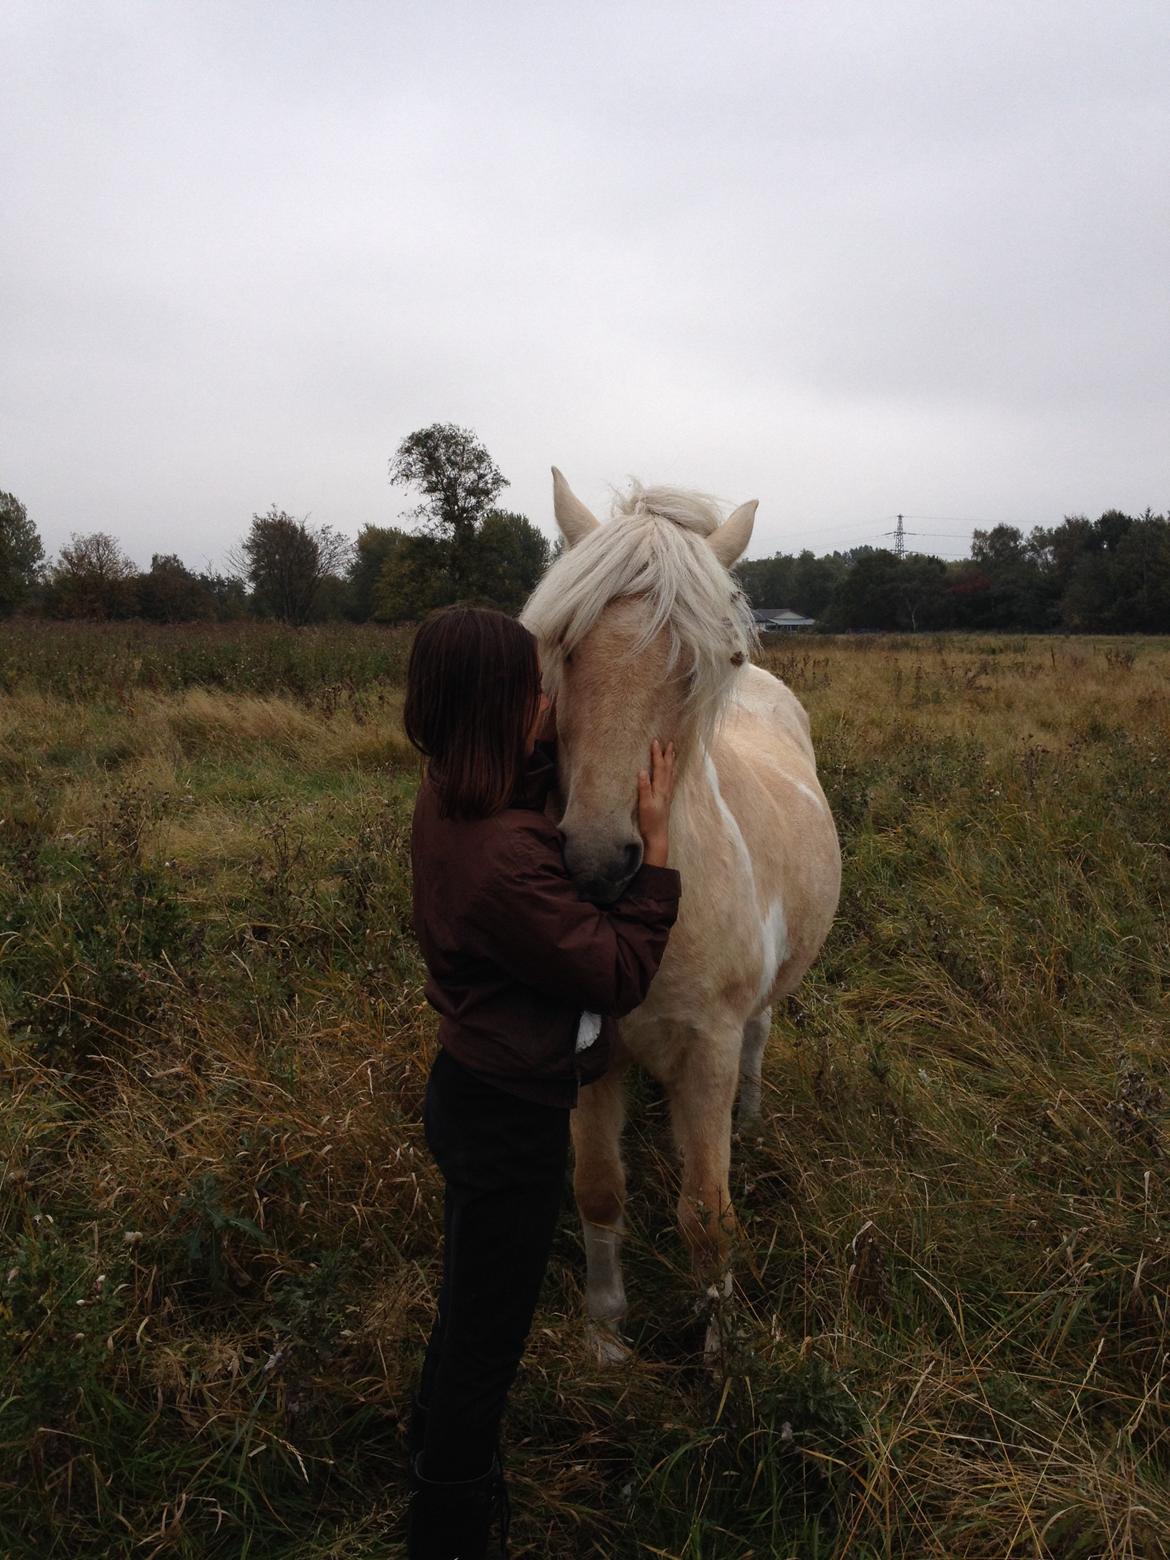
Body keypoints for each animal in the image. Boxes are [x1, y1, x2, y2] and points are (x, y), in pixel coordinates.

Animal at [521, 467, 842, 1360]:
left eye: (712, 659)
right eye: (560, 644)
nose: (598, 864)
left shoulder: (708, 1048)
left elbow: (707, 1212)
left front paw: (720, 1352)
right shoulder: (590, 1059)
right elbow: (599, 1189)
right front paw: (606, 1335)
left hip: (761, 1008)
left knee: (760, 1041)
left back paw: (751, 1120)